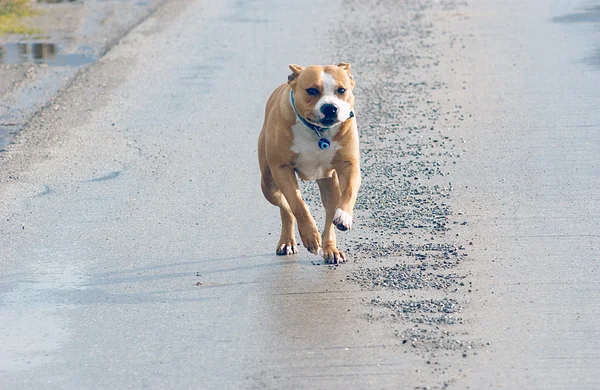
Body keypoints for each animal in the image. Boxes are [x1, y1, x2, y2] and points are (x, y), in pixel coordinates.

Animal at [258, 63, 360, 266]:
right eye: (312, 90)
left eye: (341, 90)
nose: (330, 108)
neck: (317, 131)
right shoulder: (281, 169)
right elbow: (298, 204)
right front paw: (310, 236)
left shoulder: (349, 165)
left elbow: (349, 190)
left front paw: (344, 217)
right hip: (268, 183)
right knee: (286, 208)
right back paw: (287, 242)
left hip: (329, 184)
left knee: (330, 213)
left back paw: (331, 250)